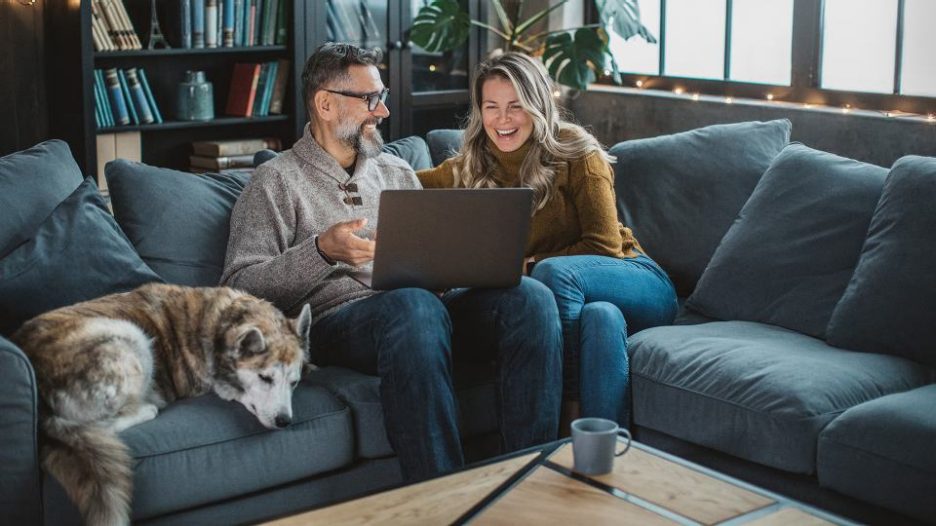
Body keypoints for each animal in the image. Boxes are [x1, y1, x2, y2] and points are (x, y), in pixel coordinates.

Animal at [12, 284, 314, 526]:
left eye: (294, 383)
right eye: (265, 378)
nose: (284, 421)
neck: (221, 324)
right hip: (128, 335)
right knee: (102, 423)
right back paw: (148, 405)